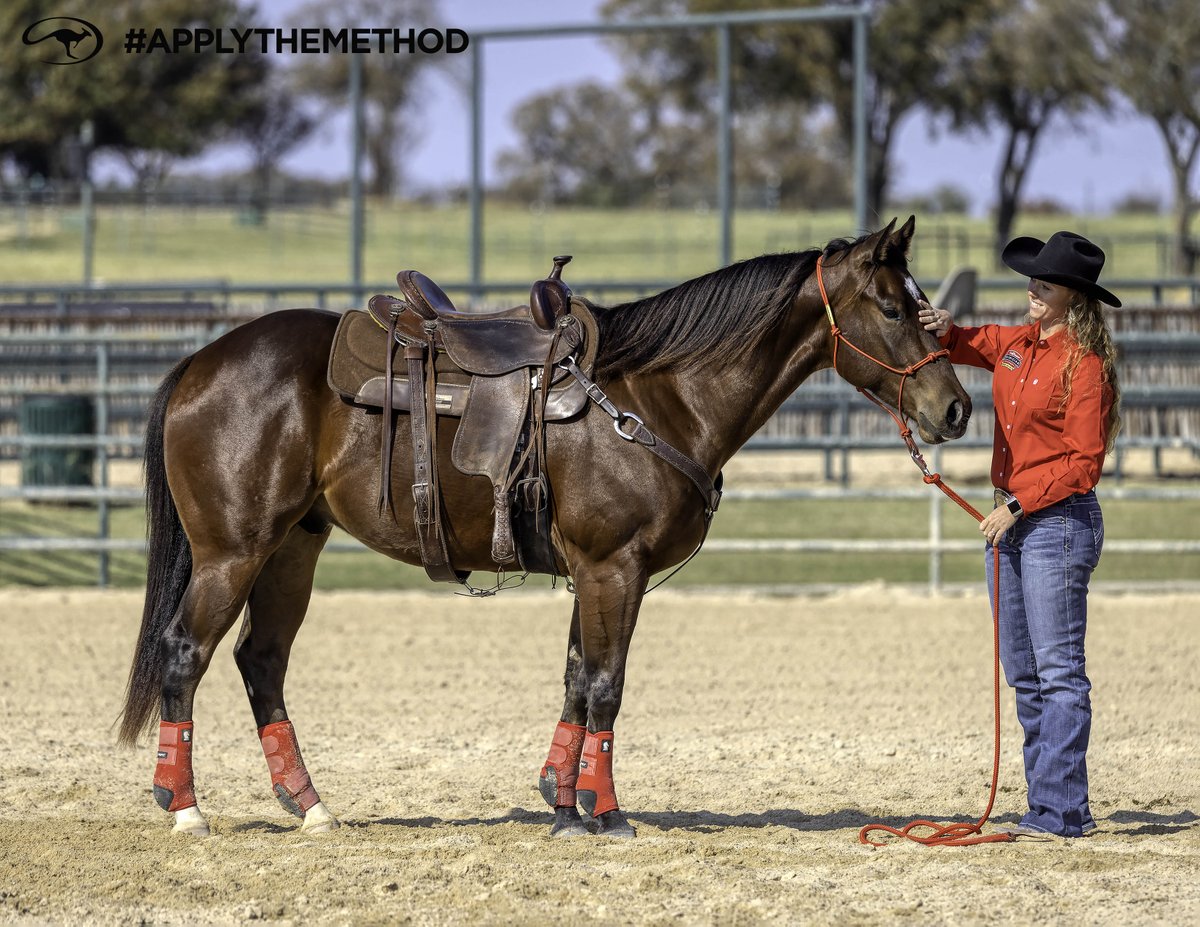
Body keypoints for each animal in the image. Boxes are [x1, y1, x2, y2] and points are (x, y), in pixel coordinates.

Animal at [117, 216, 971, 838]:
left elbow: (574, 680)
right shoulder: (613, 566)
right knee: (185, 652)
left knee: (261, 661)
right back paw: (185, 807)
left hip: (294, 547)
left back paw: (309, 803)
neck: (656, 397)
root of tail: (200, 362)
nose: (956, 407)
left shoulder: (593, 572)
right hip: (232, 552)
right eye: (893, 308)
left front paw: (564, 799)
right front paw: (605, 814)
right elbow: (606, 687)